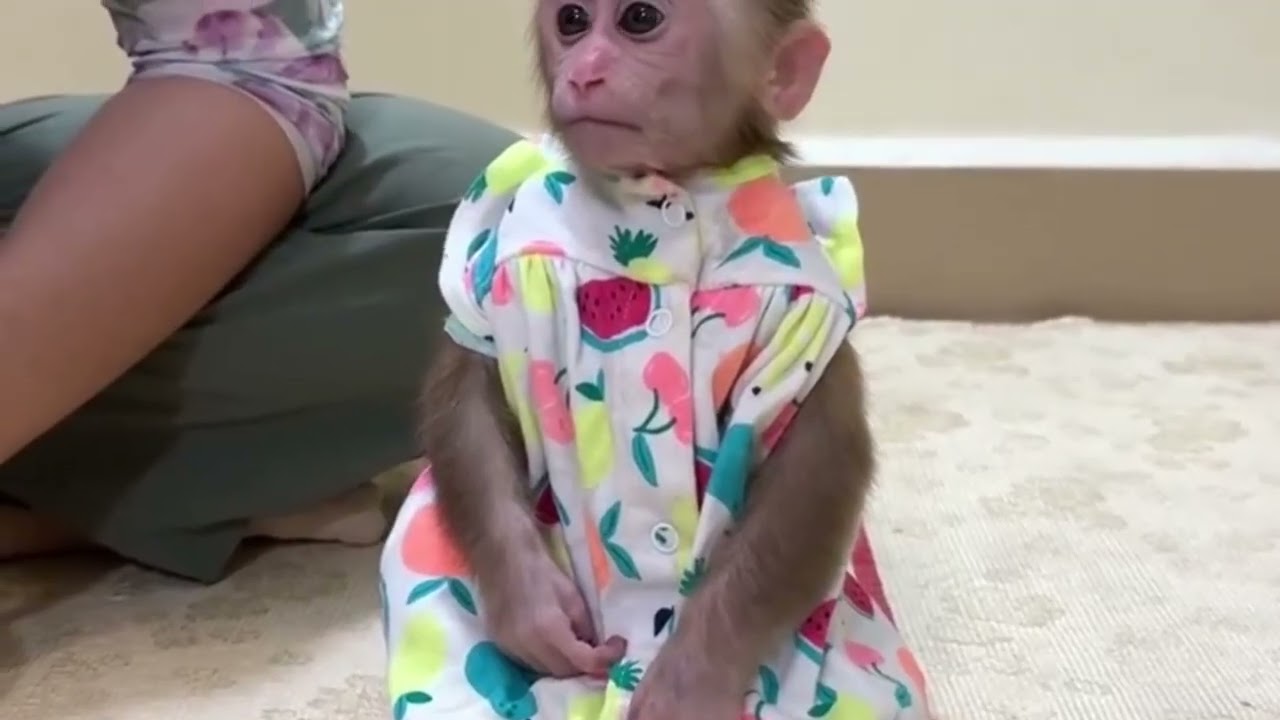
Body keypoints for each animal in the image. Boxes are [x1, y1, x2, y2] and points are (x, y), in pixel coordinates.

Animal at [381, 1, 931, 719]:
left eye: (641, 19)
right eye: (572, 20)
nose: (584, 72)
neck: (671, 189)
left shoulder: (815, 303)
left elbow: (816, 464)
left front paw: (689, 678)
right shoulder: (492, 243)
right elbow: (469, 395)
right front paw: (531, 607)